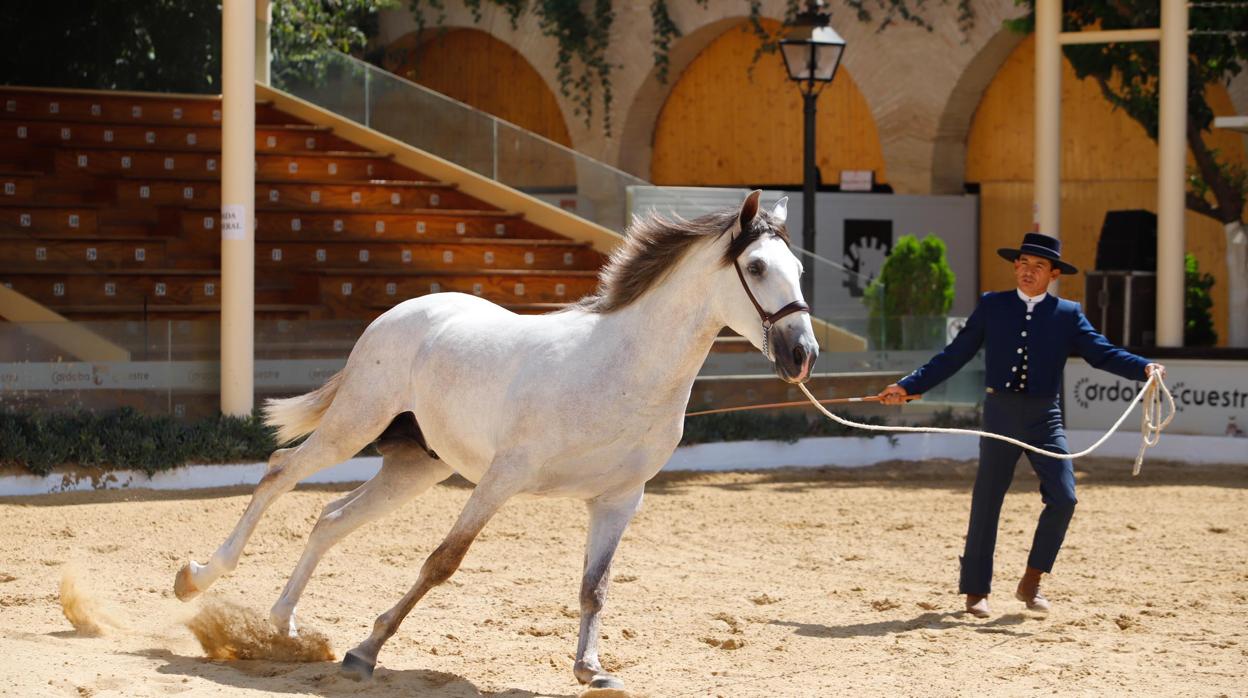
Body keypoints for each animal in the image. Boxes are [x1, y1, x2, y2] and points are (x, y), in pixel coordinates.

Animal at [175, 188, 818, 689]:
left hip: (417, 466)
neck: (620, 370)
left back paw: (283, 626)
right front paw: (365, 652)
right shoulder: (502, 479)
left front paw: (592, 670)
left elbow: (595, 587)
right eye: (756, 268)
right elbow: (442, 562)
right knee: (279, 471)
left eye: (800, 271)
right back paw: (198, 578)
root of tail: (401, 313)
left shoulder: (619, 498)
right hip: (353, 425)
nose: (802, 355)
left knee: (330, 518)